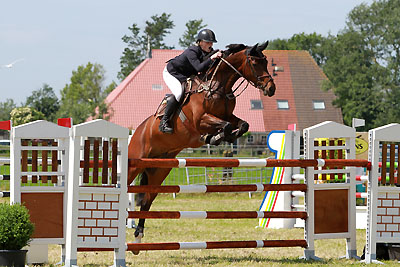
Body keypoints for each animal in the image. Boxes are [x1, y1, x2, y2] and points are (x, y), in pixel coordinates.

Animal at [127, 40, 276, 250]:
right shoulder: (200, 120)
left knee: (147, 201)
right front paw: (213, 137)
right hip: (134, 164)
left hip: (159, 170)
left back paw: (138, 237)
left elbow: (241, 125)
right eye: (255, 63)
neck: (218, 86)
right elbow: (225, 125)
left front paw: (220, 137)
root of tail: (137, 131)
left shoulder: (228, 115)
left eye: (266, 62)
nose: (271, 89)